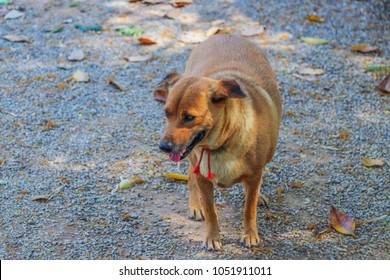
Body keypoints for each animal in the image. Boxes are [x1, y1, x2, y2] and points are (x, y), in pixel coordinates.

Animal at [155, 34, 280, 250]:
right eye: (166, 113)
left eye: (189, 117)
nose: (164, 147)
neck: (222, 144)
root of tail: (225, 34)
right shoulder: (203, 177)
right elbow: (211, 210)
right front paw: (212, 237)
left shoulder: (255, 175)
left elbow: (249, 208)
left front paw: (250, 234)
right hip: (192, 160)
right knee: (190, 176)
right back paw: (195, 207)